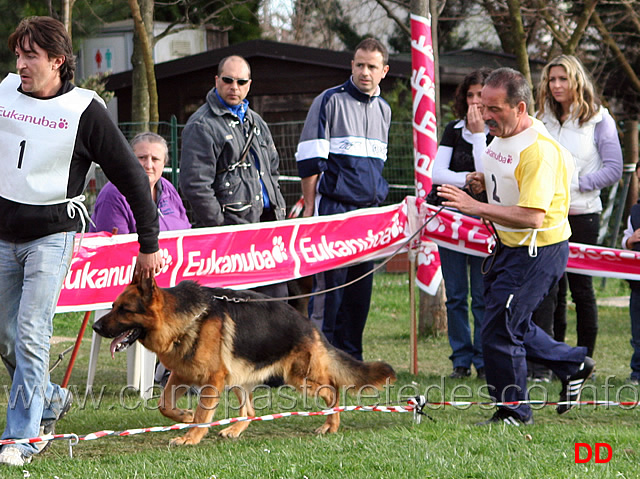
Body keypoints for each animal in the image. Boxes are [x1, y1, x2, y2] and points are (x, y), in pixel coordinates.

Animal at [92, 278, 398, 446]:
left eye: (124, 309)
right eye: (113, 306)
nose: (95, 326)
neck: (181, 319)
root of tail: (309, 325)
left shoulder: (212, 380)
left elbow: (202, 414)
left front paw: (191, 436)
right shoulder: (182, 373)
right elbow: (164, 405)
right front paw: (185, 417)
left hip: (298, 378)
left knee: (332, 389)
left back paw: (331, 424)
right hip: (239, 378)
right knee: (249, 411)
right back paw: (235, 429)